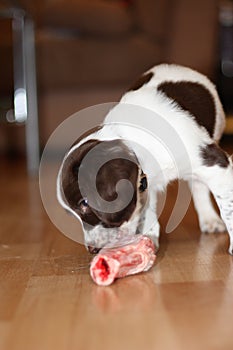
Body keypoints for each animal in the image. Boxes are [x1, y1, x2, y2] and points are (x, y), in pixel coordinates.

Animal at [57, 63, 233, 254]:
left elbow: (228, 208)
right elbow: (147, 212)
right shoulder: (147, 182)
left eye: (85, 203)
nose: (92, 249)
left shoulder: (215, 164)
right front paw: (149, 239)